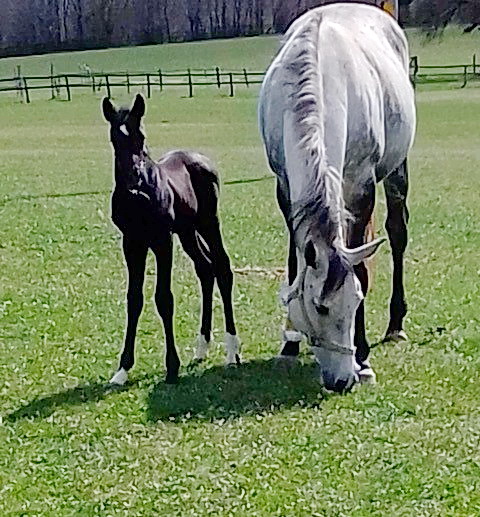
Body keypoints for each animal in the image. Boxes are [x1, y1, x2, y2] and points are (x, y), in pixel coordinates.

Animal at [103, 93, 242, 382]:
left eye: (141, 136)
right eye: (115, 138)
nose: (133, 178)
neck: (139, 196)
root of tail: (202, 159)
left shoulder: (161, 241)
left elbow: (164, 298)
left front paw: (171, 366)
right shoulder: (132, 242)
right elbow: (134, 299)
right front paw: (122, 369)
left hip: (208, 222)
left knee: (222, 268)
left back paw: (232, 352)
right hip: (187, 231)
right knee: (206, 268)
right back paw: (202, 347)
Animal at [258, 3, 416, 392]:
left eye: (356, 299)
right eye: (320, 306)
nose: (342, 380)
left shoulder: (361, 185)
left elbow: (358, 267)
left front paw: (365, 359)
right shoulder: (284, 187)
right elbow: (295, 262)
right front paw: (289, 345)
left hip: (397, 168)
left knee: (398, 233)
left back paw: (396, 326)